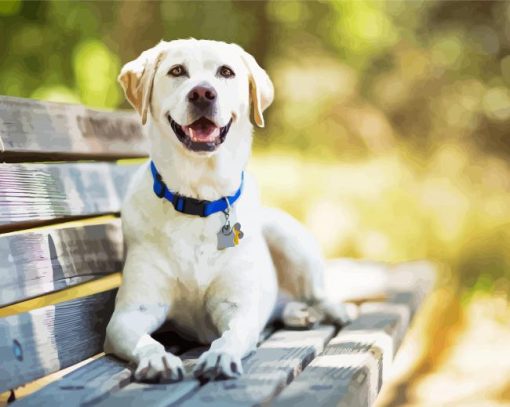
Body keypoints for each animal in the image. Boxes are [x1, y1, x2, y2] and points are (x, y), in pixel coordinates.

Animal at [103, 39, 350, 384]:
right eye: (176, 71)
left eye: (226, 72)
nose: (203, 93)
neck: (199, 199)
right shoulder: (130, 314)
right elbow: (145, 340)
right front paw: (158, 359)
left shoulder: (237, 307)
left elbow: (231, 335)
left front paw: (220, 356)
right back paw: (297, 313)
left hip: (285, 234)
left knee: (314, 292)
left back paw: (332, 309)